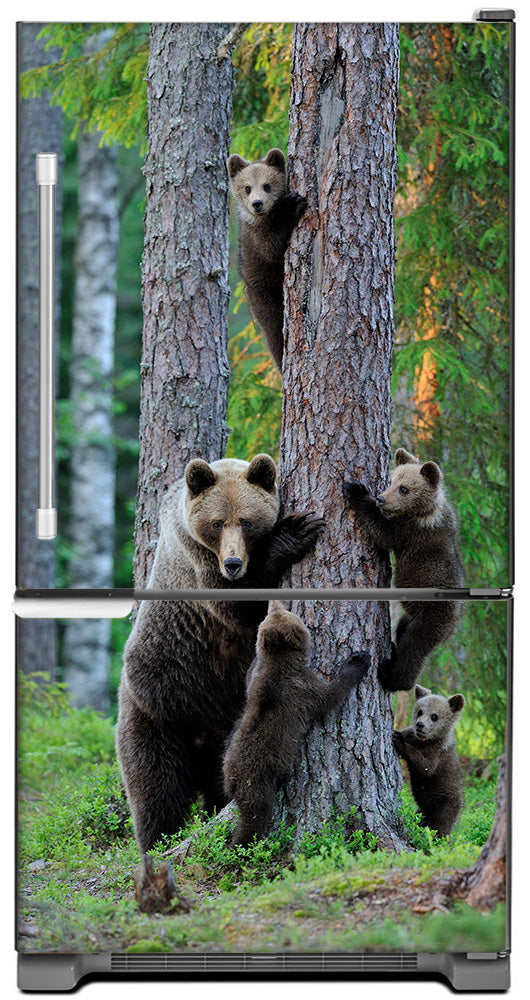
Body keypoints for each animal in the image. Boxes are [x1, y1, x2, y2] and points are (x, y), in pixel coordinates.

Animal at [116, 454, 324, 853]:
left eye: (246, 520)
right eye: (216, 523)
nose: (232, 563)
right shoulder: (196, 560)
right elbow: (235, 605)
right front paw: (296, 531)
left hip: (226, 733)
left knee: (217, 784)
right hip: (157, 708)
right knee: (155, 786)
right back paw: (157, 841)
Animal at [223, 602, 371, 847]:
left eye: (273, 613)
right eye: (280, 612)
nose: (274, 602)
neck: (281, 662)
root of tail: (232, 781)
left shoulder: (256, 680)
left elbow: (249, 677)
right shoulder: (304, 689)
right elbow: (330, 697)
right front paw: (357, 661)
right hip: (257, 783)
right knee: (255, 815)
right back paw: (244, 843)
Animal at [227, 147, 307, 370]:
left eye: (267, 185)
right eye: (247, 188)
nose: (257, 203)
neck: (266, 217)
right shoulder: (255, 239)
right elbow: (271, 248)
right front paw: (292, 205)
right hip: (262, 294)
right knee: (274, 332)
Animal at [342, 448, 464, 692]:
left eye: (404, 488)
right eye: (392, 481)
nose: (381, 498)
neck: (424, 512)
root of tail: (453, 624)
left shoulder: (410, 534)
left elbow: (383, 532)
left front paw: (356, 490)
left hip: (431, 617)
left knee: (414, 648)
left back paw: (393, 677)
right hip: (412, 616)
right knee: (402, 629)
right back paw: (391, 651)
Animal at [392, 684, 465, 837]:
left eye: (434, 716)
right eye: (420, 711)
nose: (420, 725)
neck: (425, 741)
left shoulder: (437, 754)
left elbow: (425, 767)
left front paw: (399, 741)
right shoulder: (412, 735)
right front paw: (397, 732)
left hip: (445, 803)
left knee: (441, 827)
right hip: (422, 811)